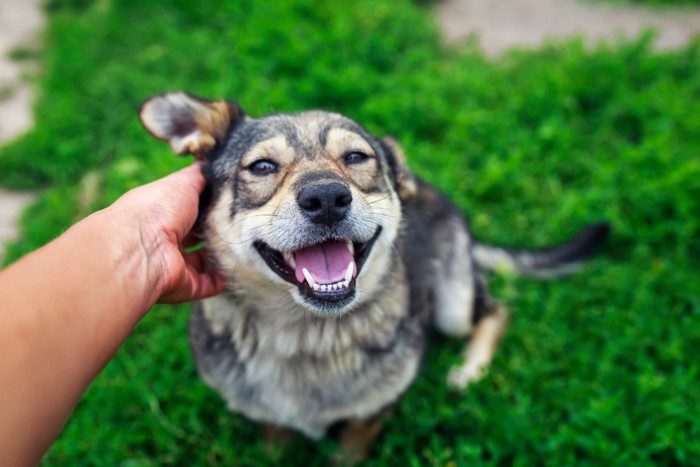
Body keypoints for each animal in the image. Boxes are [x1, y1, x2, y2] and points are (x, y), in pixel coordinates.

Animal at [138, 93, 608, 462]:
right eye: (263, 166)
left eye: (355, 157)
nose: (327, 198)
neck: (306, 337)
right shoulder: (268, 420)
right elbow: (275, 443)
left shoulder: (370, 415)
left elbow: (350, 449)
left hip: (453, 306)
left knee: (498, 310)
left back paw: (469, 370)